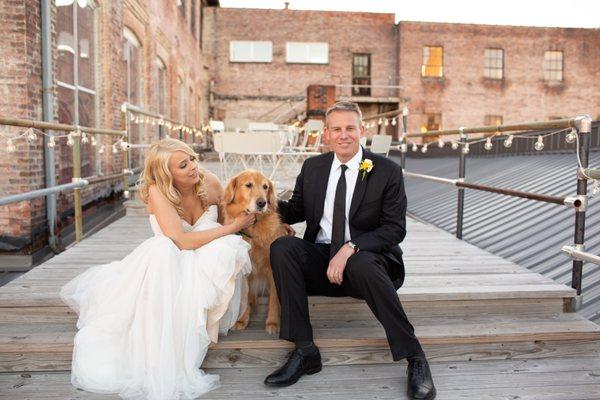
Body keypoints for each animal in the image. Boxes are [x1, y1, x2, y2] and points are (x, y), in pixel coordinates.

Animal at [221, 170, 288, 334]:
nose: (262, 203)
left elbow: (274, 300)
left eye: (265, 187)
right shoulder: (245, 268)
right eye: (248, 185)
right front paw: (242, 319)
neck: (253, 228)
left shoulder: (272, 268)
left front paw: (272, 323)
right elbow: (245, 296)